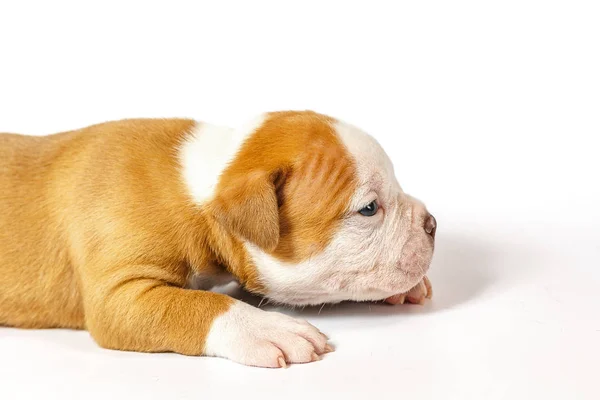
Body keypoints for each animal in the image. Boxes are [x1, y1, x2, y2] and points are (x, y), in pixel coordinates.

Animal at [0, 111, 436, 368]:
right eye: (369, 208)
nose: (432, 223)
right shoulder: (117, 296)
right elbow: (196, 303)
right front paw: (266, 328)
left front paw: (408, 288)